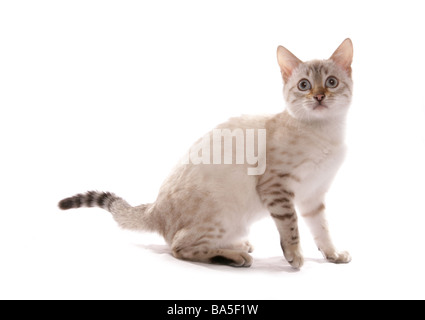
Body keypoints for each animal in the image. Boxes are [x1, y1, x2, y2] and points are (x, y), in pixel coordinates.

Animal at [58, 38, 352, 268]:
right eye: (304, 85)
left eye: (331, 82)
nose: (319, 97)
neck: (327, 133)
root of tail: (155, 209)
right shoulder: (277, 188)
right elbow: (291, 228)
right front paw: (295, 257)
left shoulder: (314, 196)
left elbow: (322, 230)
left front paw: (333, 255)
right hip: (223, 214)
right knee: (179, 247)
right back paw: (234, 256)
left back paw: (238, 247)